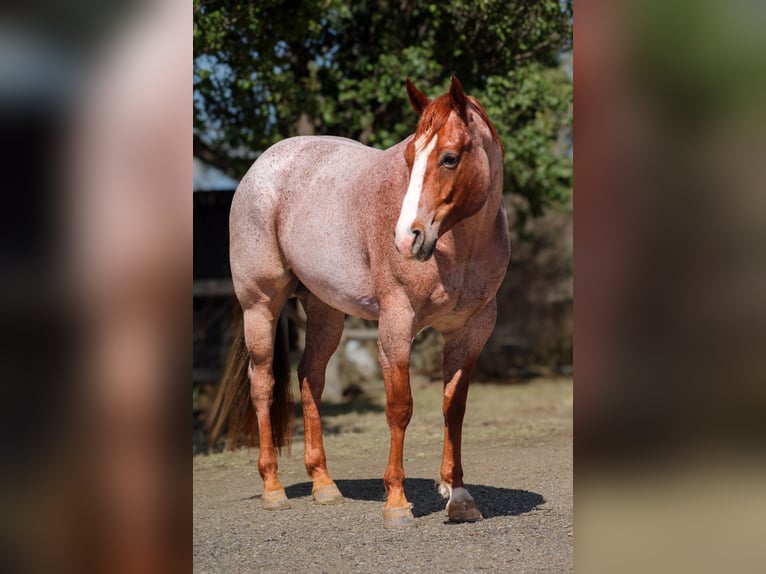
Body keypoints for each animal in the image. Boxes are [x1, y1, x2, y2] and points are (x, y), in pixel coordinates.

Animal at [209, 76, 510, 528]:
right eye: (409, 156)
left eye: (449, 158)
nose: (406, 238)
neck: (459, 249)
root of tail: (261, 167)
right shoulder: (396, 326)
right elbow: (399, 408)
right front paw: (397, 503)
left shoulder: (470, 331)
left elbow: (453, 409)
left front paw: (458, 496)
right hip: (259, 306)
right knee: (263, 384)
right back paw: (273, 489)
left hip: (325, 312)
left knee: (310, 379)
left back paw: (324, 484)